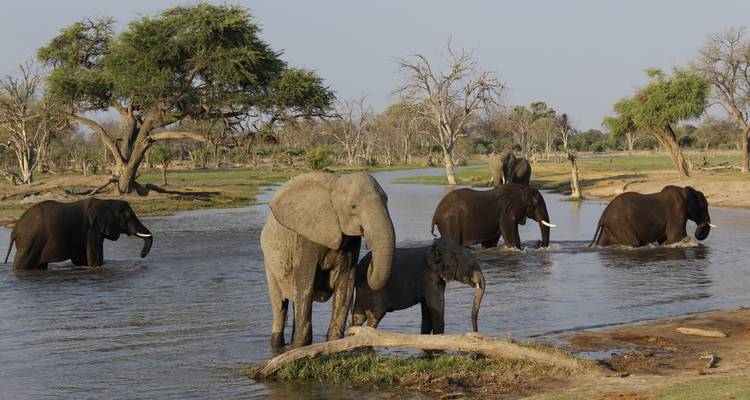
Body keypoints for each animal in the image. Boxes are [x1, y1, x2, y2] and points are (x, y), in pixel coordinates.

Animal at [4, 198, 153, 271]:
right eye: (127, 216)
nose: (141, 255)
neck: (106, 202)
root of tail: (14, 231)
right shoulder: (91, 229)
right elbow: (94, 258)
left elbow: (81, 260)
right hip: (29, 241)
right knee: (21, 264)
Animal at [260, 172, 395, 348]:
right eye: (353, 206)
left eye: (386, 201)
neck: (335, 186)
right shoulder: (306, 238)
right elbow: (304, 283)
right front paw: (301, 346)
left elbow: (345, 284)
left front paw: (334, 343)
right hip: (269, 263)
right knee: (280, 305)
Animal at [352, 237, 485, 334]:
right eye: (471, 267)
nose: (475, 332)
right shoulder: (429, 276)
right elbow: (436, 307)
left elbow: (427, 310)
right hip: (373, 289)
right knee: (375, 317)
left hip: (363, 289)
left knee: (358, 318)